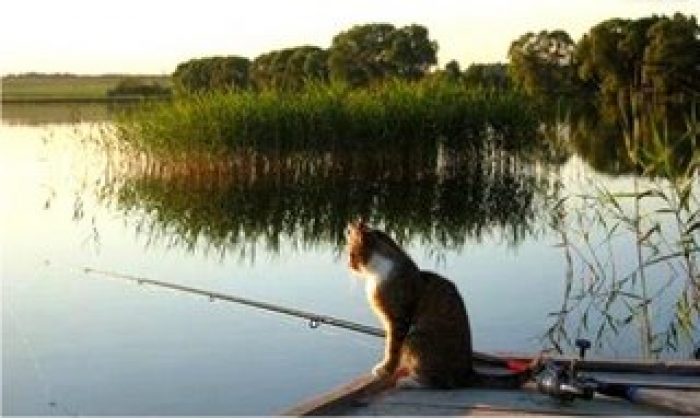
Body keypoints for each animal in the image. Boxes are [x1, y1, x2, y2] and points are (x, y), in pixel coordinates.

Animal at [346, 222, 536, 388]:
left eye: (350, 254)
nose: (348, 265)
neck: (379, 272)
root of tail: (467, 373)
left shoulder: (398, 320)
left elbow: (392, 347)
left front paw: (385, 369)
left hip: (415, 336)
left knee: (441, 383)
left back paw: (409, 382)